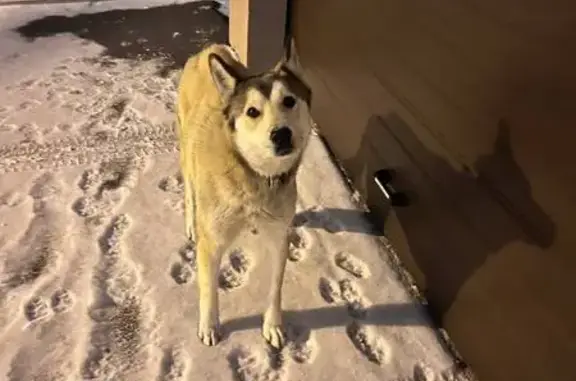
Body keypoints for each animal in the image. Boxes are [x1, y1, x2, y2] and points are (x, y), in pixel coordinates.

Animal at [176, 42, 312, 348]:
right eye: (252, 112)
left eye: (289, 101)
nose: (281, 135)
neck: (255, 177)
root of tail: (209, 50)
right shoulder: (212, 243)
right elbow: (209, 290)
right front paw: (209, 326)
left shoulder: (278, 236)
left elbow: (275, 287)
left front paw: (272, 325)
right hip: (186, 154)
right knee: (189, 192)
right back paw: (190, 223)